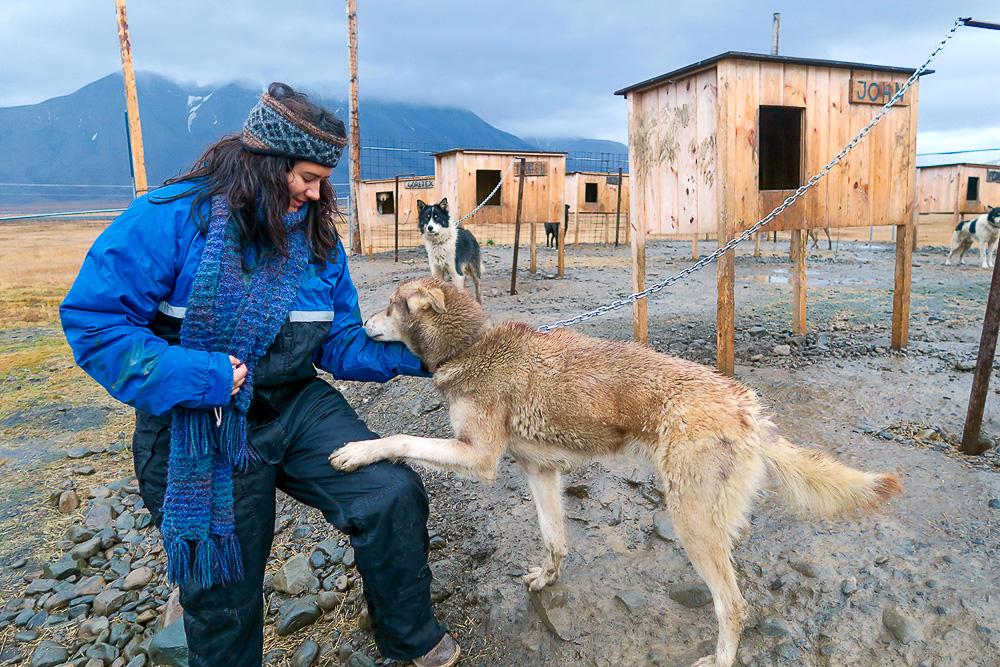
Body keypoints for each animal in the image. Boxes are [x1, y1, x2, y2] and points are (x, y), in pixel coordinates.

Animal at [332, 276, 904, 667]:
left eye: (389, 305)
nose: (360, 323)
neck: (469, 345)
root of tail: (747, 408)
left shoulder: (479, 457)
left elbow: (400, 439)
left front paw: (357, 451)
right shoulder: (538, 471)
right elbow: (554, 539)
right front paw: (547, 578)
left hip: (691, 524)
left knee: (734, 606)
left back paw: (720, 658)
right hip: (708, 520)